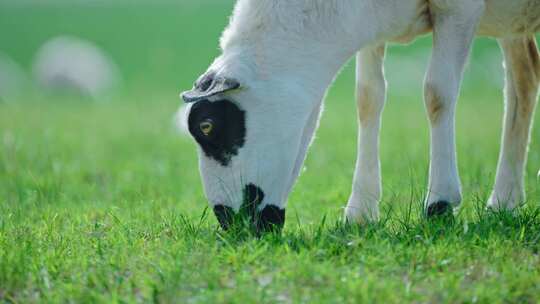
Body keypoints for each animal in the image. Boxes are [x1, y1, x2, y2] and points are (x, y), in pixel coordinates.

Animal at [182, 0, 540, 232]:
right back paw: (505, 201)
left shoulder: (459, 8)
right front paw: (361, 211)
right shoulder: (369, 23)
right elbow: (368, 98)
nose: (230, 224)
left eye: (207, 126)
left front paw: (439, 204)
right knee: (523, 80)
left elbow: (437, 93)